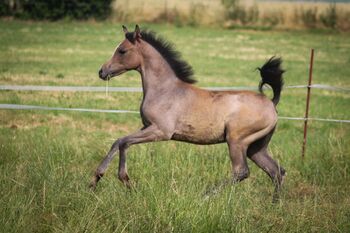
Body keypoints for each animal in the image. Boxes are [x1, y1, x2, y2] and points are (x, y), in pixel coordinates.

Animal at [90, 25, 284, 200]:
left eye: (122, 51)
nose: (102, 71)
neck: (165, 90)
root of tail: (271, 103)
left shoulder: (161, 131)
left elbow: (124, 142)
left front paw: (126, 181)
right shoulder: (147, 127)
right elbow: (118, 141)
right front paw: (95, 179)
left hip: (237, 141)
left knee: (241, 171)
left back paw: (204, 197)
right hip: (256, 147)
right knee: (276, 171)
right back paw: (275, 204)